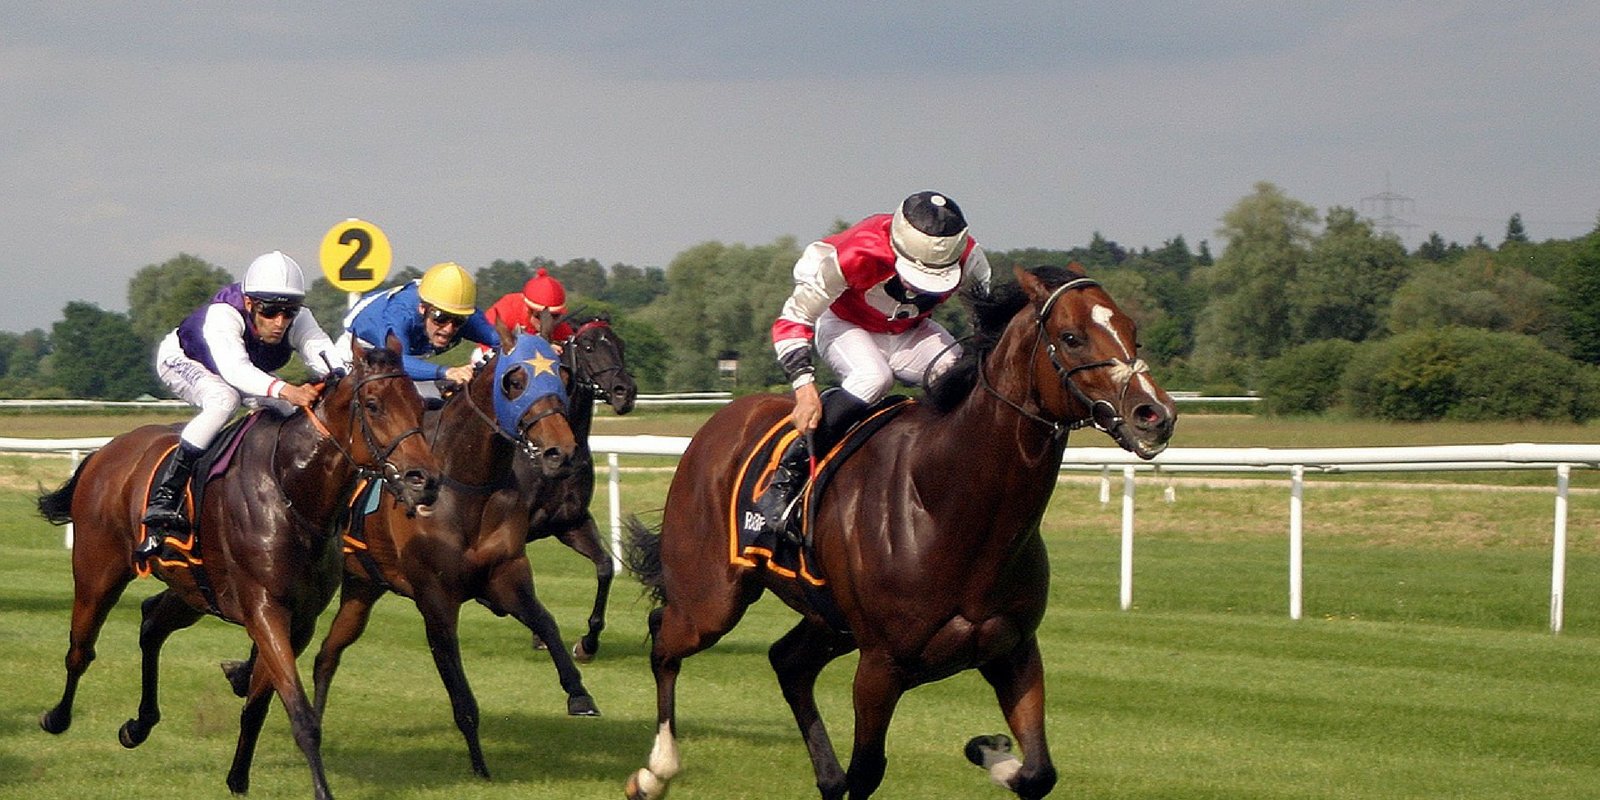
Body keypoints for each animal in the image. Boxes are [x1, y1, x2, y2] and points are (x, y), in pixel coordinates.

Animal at [36, 342, 438, 800]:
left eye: (419, 405)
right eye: (373, 405)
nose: (425, 480)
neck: (292, 487)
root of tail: (104, 452)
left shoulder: (298, 620)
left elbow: (259, 703)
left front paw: (238, 776)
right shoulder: (265, 610)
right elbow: (301, 715)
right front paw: (321, 789)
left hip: (193, 589)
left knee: (152, 623)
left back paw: (138, 725)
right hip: (98, 570)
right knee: (80, 648)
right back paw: (57, 717)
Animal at [620, 267, 1177, 800]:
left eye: (1132, 331)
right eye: (1071, 337)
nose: (1155, 415)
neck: (948, 503)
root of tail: (718, 424)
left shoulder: (1014, 649)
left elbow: (1039, 772)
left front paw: (989, 750)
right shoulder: (881, 666)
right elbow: (868, 771)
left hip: (829, 619)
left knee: (788, 662)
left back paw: (826, 778)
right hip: (711, 602)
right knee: (663, 635)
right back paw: (654, 771)